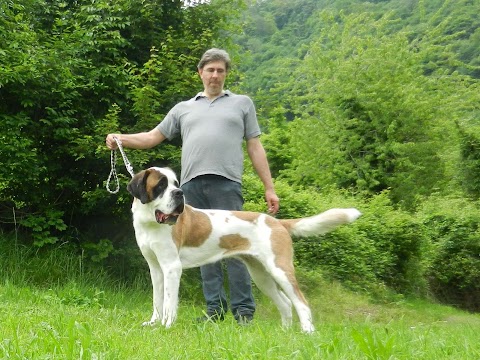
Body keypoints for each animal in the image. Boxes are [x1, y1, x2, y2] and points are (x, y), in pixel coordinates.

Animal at [126, 167, 360, 334]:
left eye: (175, 184)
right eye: (161, 185)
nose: (179, 193)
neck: (150, 222)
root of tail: (277, 222)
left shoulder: (172, 268)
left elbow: (169, 302)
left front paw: (167, 326)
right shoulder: (156, 269)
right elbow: (157, 300)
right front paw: (153, 323)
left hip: (280, 270)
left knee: (301, 302)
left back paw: (307, 332)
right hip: (261, 275)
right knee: (285, 303)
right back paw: (285, 333)